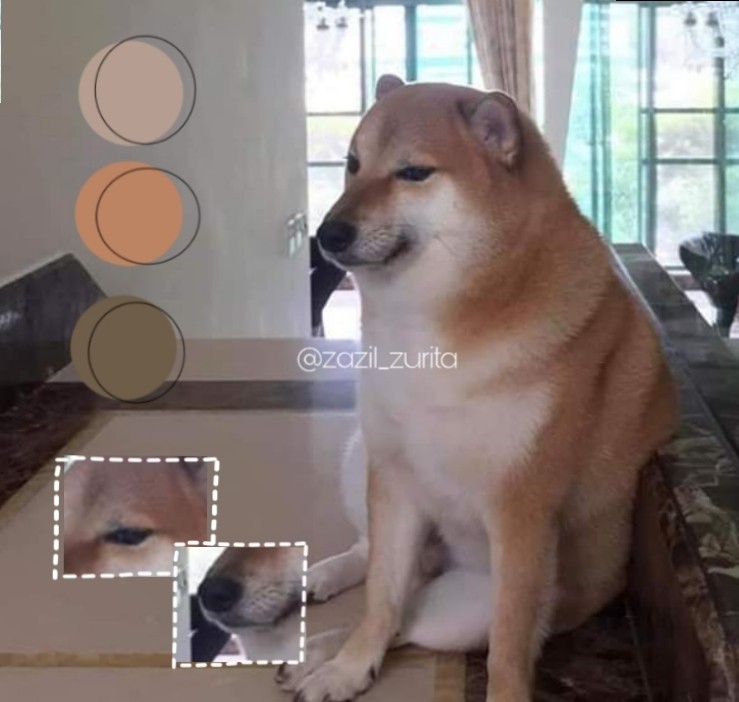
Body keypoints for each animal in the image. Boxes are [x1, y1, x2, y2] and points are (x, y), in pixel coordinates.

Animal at [277, 75, 679, 702]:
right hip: (363, 453)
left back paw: (318, 648)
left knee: (412, 618)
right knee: (378, 577)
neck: (432, 332)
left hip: (468, 610)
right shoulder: (394, 481)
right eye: (352, 164)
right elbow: (379, 596)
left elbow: (506, 651)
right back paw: (322, 605)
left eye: (414, 172)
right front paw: (349, 668)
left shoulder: (522, 512)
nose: (327, 234)